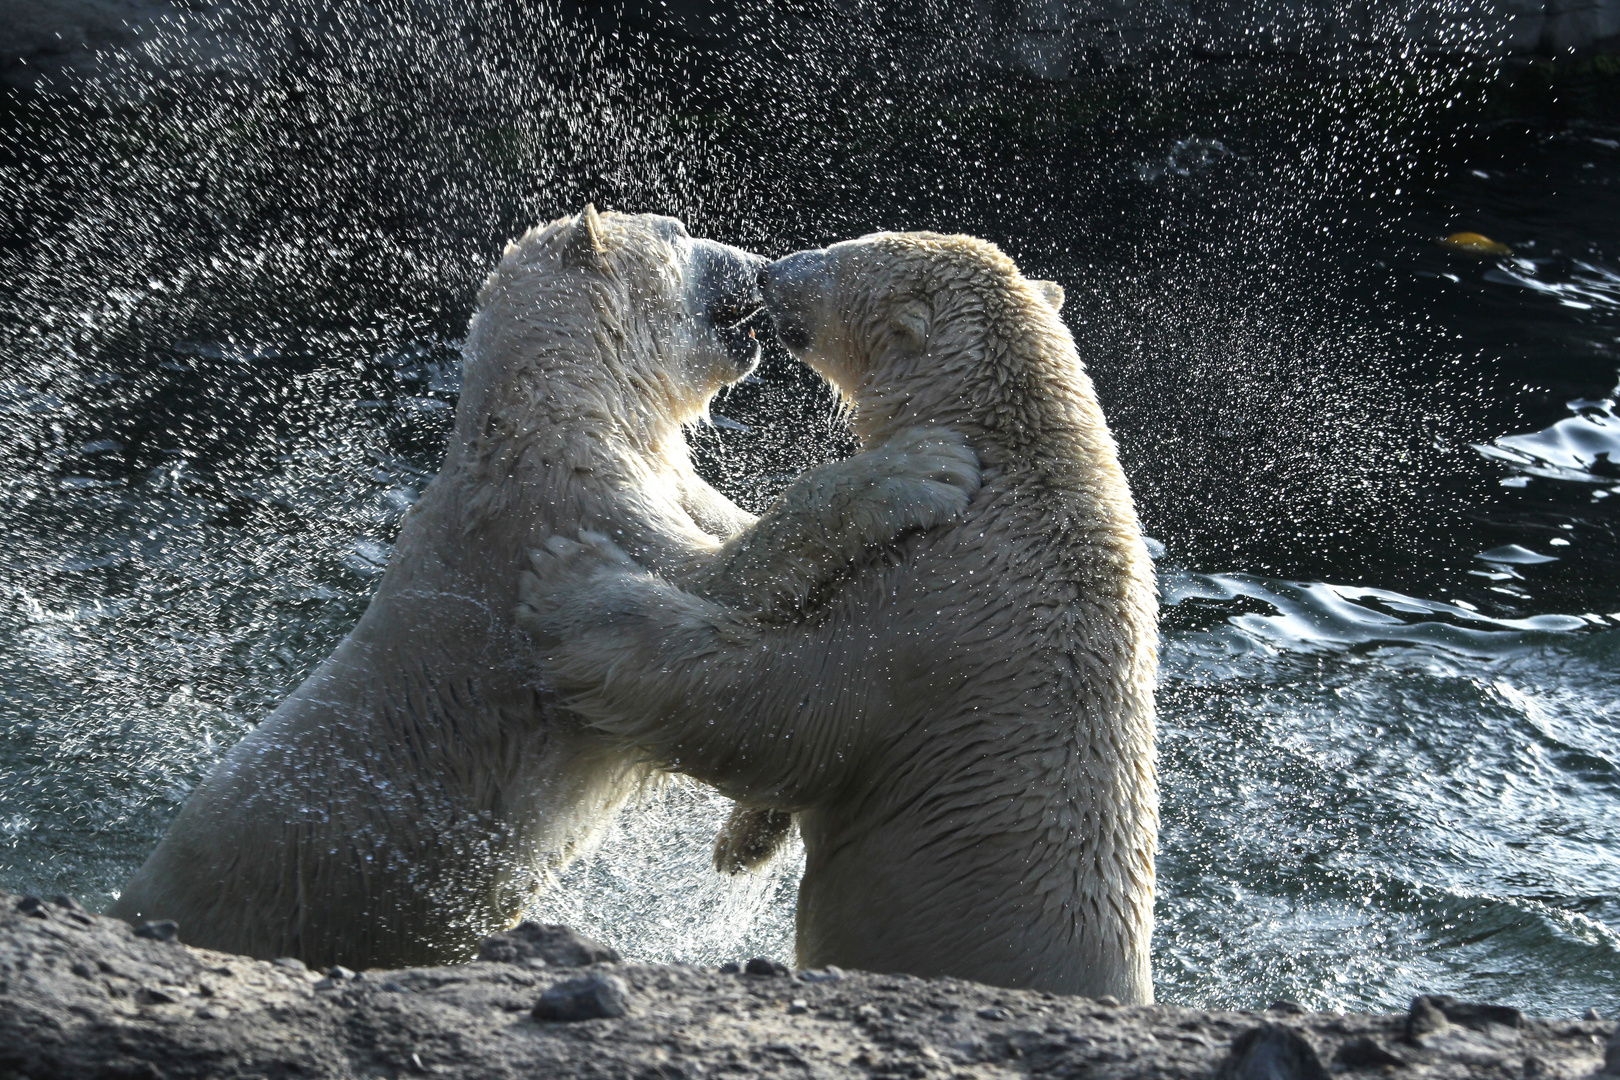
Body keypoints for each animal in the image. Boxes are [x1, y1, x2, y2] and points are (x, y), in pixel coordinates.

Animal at [114, 207, 978, 965]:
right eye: (677, 231)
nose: (760, 265)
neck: (550, 412)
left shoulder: (653, 482)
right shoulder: (557, 507)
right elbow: (712, 585)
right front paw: (920, 468)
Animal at [511, 228, 1159, 1003]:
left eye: (835, 256)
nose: (769, 271)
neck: (1024, 464)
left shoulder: (936, 606)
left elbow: (783, 707)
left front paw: (574, 587)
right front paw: (742, 844)